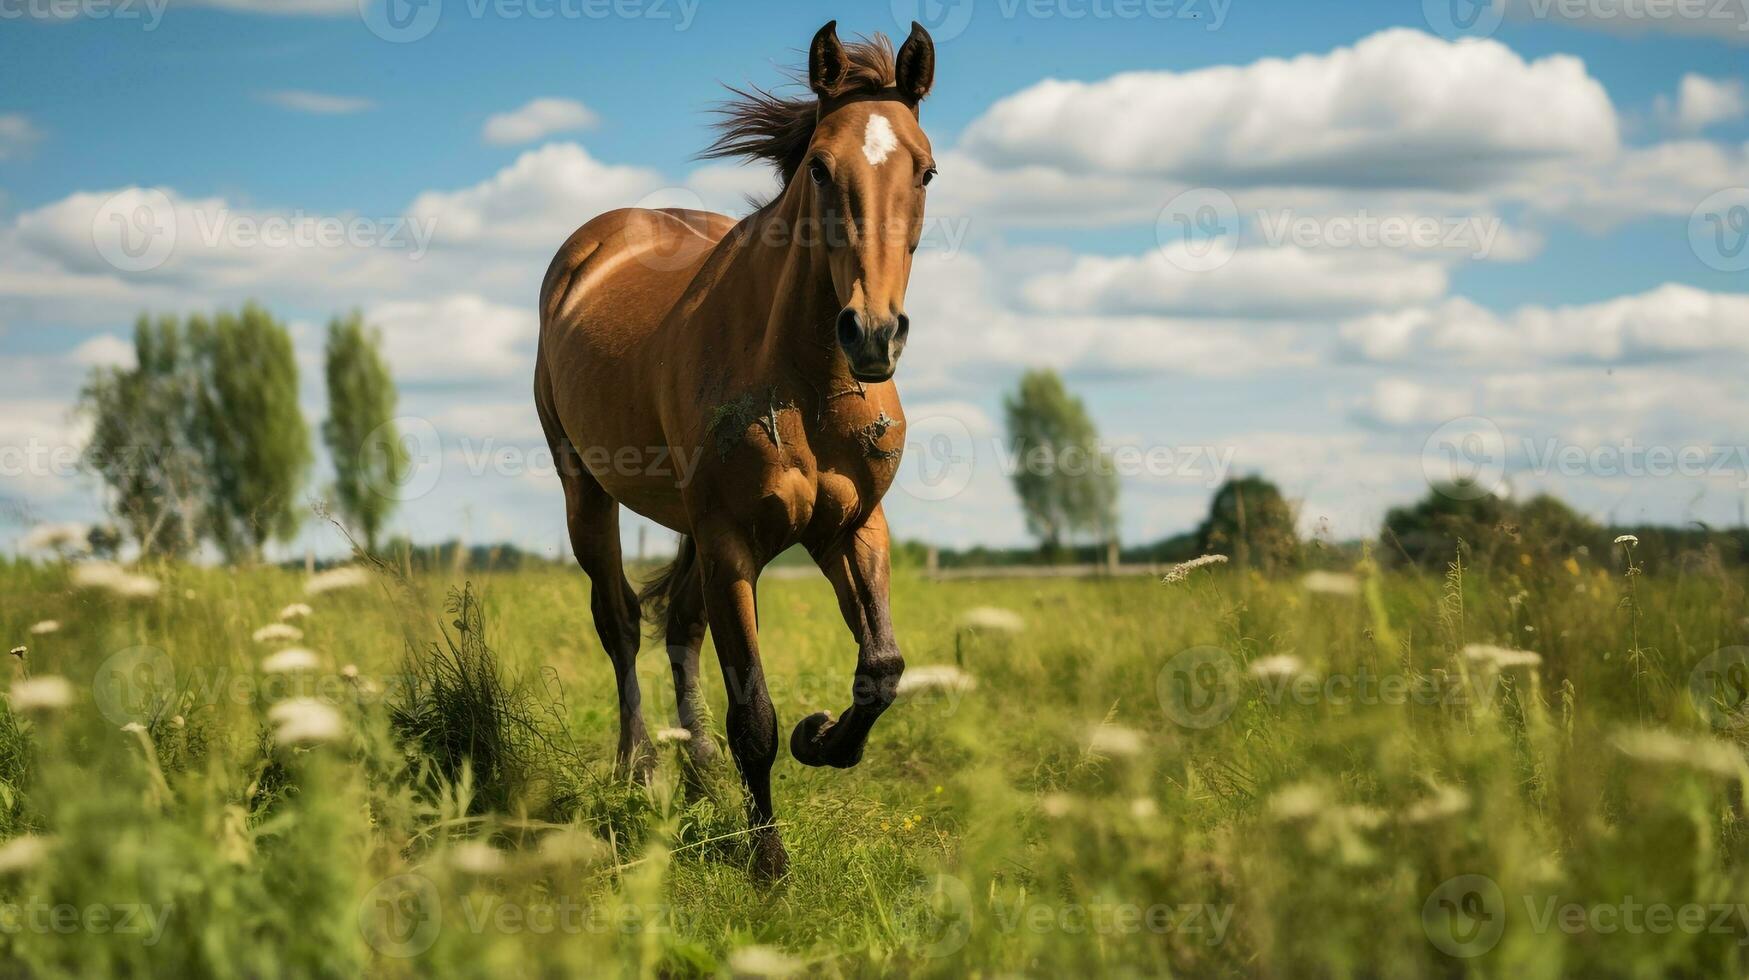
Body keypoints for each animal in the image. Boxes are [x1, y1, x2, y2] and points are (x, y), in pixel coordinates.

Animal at [531, 22, 937, 882]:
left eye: (924, 169)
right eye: (819, 165)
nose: (873, 333)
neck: (805, 380)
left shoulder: (851, 528)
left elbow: (881, 670)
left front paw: (823, 741)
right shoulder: (730, 542)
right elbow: (753, 709)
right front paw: (769, 863)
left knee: (679, 627)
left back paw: (701, 775)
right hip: (585, 490)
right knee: (620, 623)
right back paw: (642, 770)